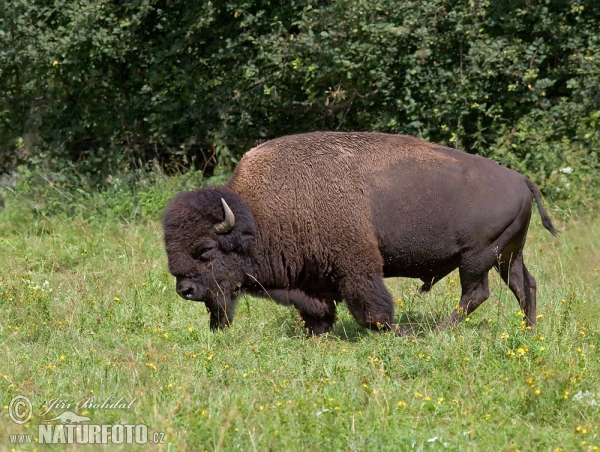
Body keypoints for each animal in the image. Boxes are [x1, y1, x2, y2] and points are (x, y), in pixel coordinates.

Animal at [162, 132, 556, 336]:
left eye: (205, 250)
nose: (185, 290)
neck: (258, 216)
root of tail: (520, 179)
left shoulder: (357, 268)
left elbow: (372, 307)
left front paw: (390, 331)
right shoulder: (312, 278)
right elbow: (318, 310)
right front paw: (317, 333)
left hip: (476, 258)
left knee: (476, 294)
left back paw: (435, 331)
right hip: (508, 254)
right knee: (525, 285)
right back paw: (529, 331)